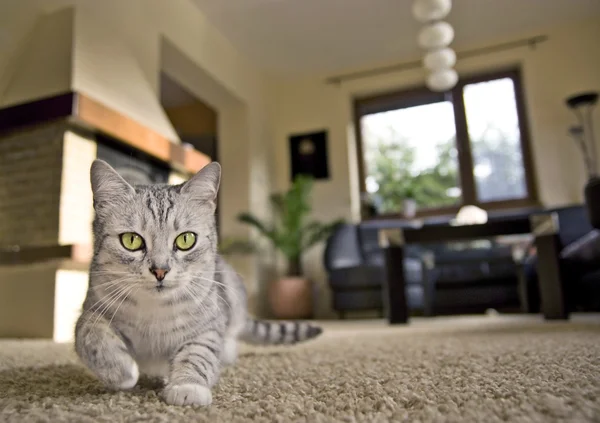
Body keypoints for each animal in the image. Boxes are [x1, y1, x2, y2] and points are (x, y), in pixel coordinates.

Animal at [75, 160, 324, 408]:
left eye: (186, 239)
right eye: (131, 240)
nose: (160, 270)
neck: (155, 315)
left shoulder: (208, 326)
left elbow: (198, 355)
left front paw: (188, 387)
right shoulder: (91, 311)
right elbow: (93, 337)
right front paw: (122, 372)